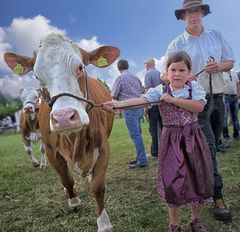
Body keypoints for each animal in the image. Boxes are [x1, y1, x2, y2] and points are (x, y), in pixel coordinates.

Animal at [3, 33, 120, 232]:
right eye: (36, 75)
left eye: (80, 67)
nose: (64, 117)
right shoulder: (51, 150)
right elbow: (66, 179)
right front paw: (74, 201)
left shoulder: (103, 147)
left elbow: (98, 186)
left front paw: (104, 223)